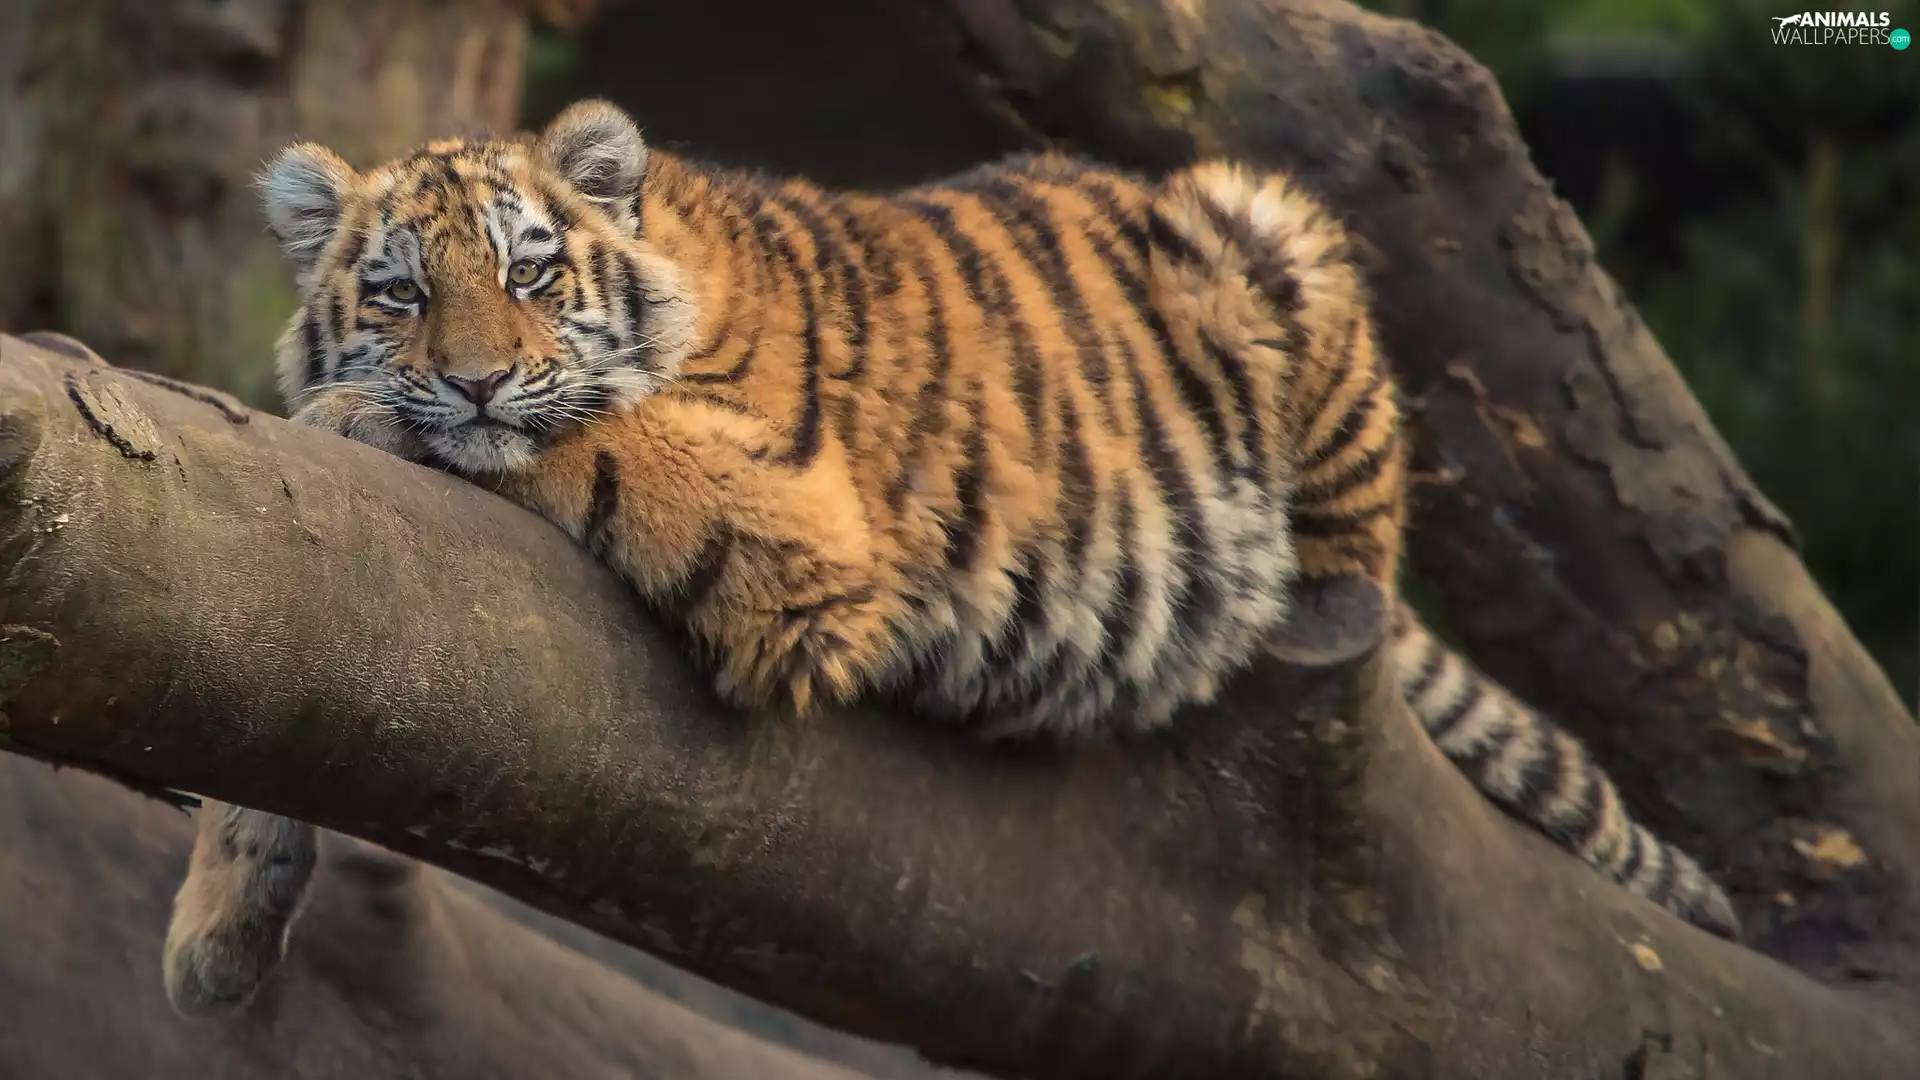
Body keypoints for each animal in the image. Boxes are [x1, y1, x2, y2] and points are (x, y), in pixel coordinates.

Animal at [161, 100, 1739, 1016]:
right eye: (399, 293)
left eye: (533, 272)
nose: (476, 378)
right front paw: (216, 937)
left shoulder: (788, 521)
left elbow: (580, 433)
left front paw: (359, 414)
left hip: (1268, 237)